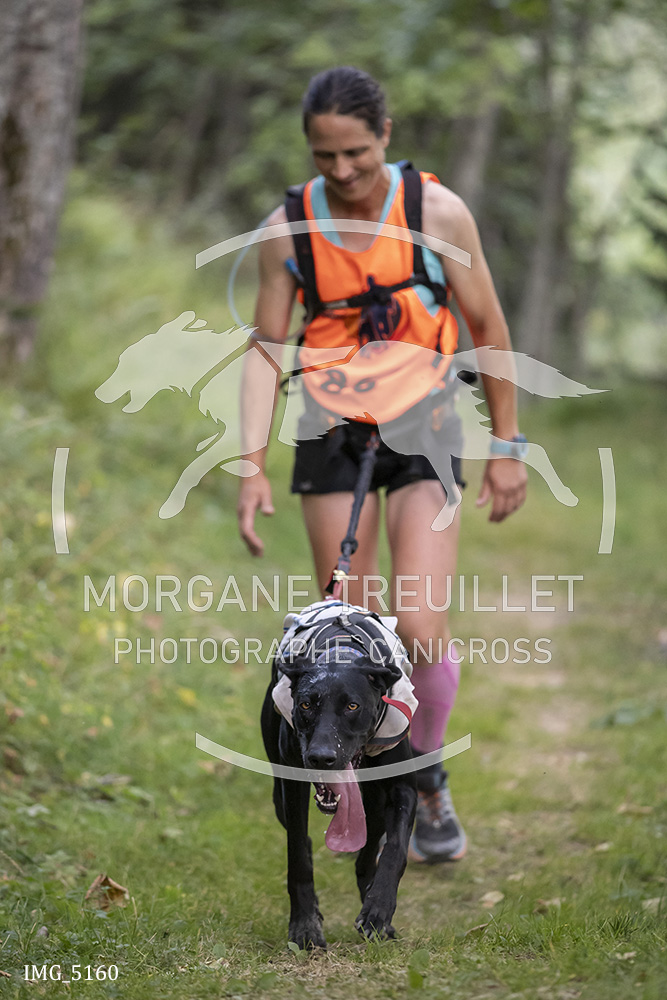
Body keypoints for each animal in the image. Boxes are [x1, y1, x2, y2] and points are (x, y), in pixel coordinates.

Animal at [261, 600, 418, 949]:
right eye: (306, 704)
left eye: (352, 706)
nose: (321, 757)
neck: (340, 654)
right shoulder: (292, 787)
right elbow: (298, 856)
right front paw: (305, 926)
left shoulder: (403, 788)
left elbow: (395, 849)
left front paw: (378, 910)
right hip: (279, 798)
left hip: (374, 801)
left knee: (369, 849)